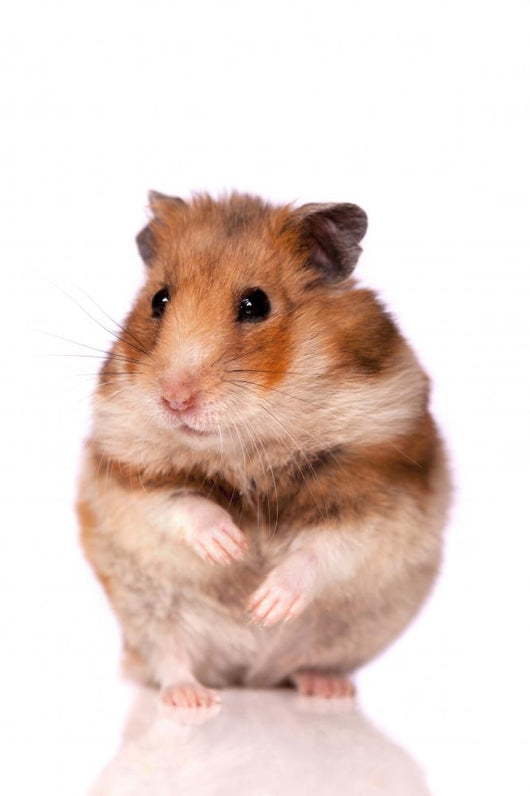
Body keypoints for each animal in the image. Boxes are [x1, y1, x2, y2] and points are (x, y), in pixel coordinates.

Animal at [78, 191, 450, 711]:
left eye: (256, 304)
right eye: (159, 299)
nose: (174, 400)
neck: (244, 442)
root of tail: (246, 675)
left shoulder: (380, 492)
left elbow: (325, 549)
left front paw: (264, 604)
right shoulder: (127, 474)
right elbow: (180, 504)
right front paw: (231, 548)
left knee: (302, 663)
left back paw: (325, 687)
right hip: (147, 611)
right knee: (171, 659)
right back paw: (193, 700)